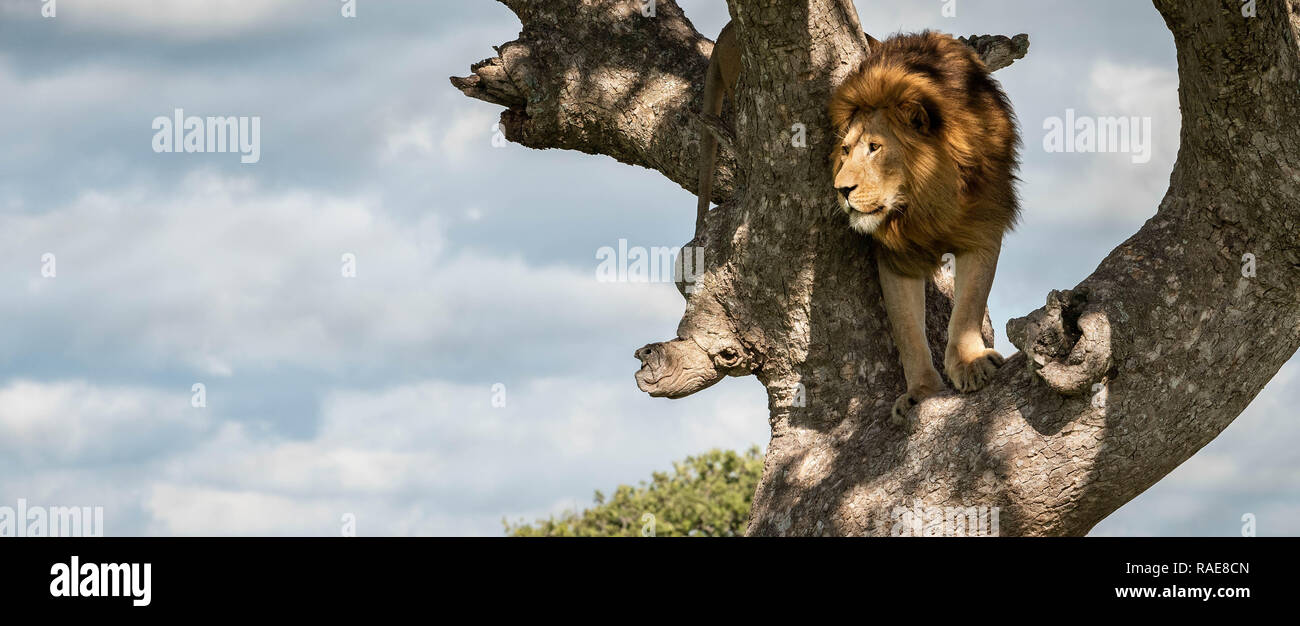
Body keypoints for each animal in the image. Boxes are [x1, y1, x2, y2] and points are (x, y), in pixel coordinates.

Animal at [829, 31, 1022, 423]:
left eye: (874, 148)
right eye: (845, 150)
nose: (842, 190)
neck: (922, 201)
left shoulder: (982, 227)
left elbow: (968, 306)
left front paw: (969, 363)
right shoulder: (896, 256)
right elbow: (907, 330)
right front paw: (921, 392)